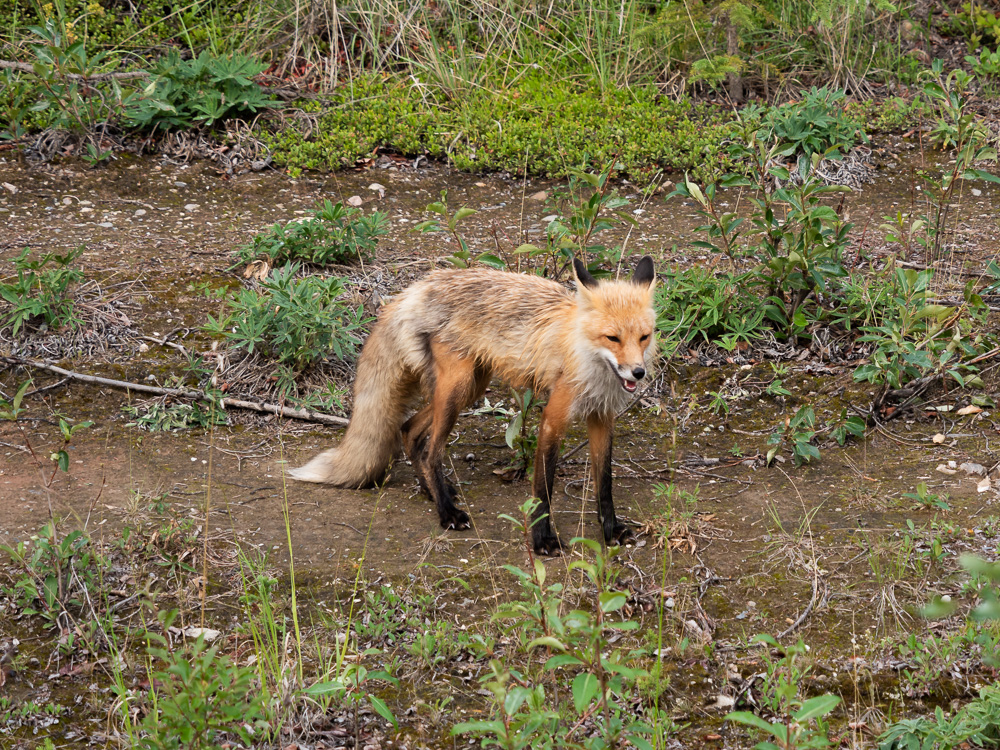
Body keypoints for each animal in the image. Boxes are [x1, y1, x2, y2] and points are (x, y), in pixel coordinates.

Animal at [290, 256, 656, 556]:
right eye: (612, 338)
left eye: (644, 337)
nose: (638, 372)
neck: (588, 359)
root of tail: (416, 289)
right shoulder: (553, 418)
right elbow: (543, 488)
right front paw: (543, 540)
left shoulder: (602, 418)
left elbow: (605, 484)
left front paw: (611, 531)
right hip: (459, 388)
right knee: (432, 451)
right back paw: (447, 512)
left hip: (470, 387)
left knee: (409, 430)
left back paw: (432, 491)